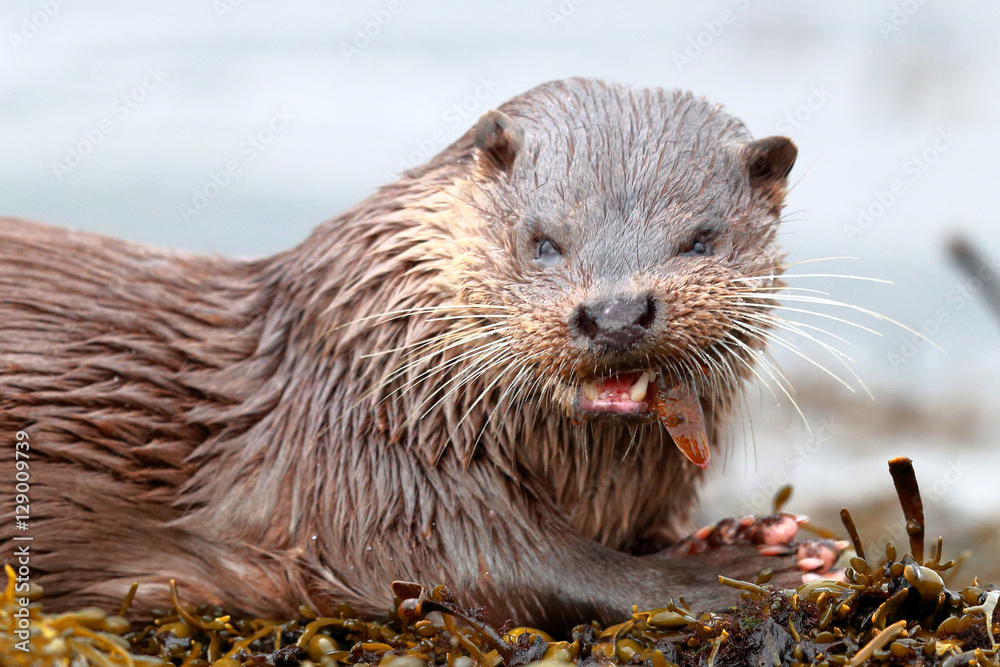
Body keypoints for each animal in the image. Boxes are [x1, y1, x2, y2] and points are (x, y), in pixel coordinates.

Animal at [0, 78, 839, 635]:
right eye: (543, 239)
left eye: (701, 239)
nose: (615, 312)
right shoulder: (370, 472)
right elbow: (512, 569)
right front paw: (746, 570)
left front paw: (738, 533)